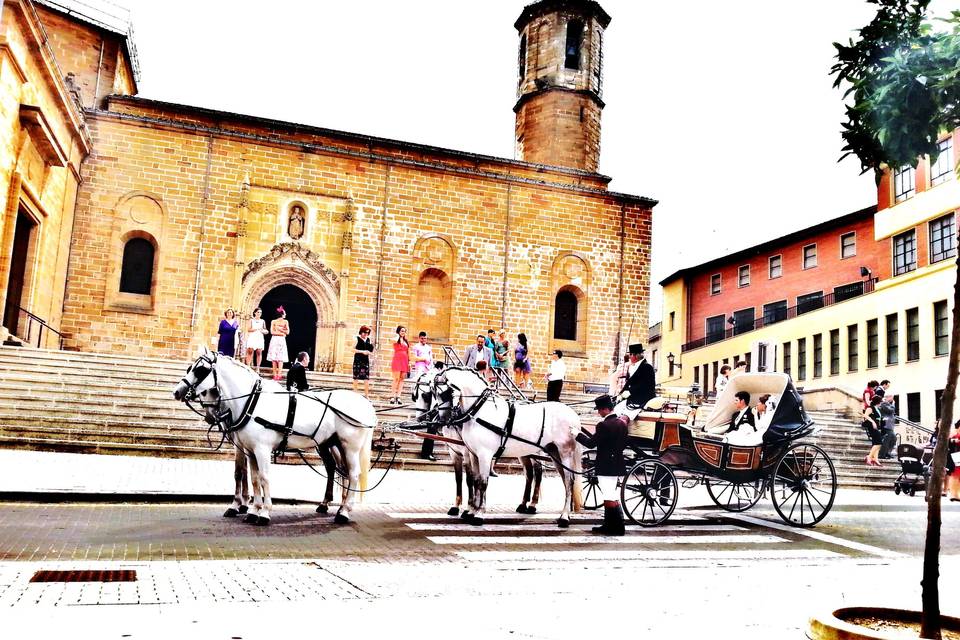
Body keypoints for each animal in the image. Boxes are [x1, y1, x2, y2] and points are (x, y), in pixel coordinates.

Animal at [174, 350, 374, 524]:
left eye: (200, 370)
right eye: (190, 367)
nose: (177, 391)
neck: (252, 402)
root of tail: (365, 403)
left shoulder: (261, 449)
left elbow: (263, 477)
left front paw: (263, 512)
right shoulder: (249, 450)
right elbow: (252, 477)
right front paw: (252, 510)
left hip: (350, 447)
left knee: (353, 474)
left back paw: (344, 511)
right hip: (330, 443)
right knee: (338, 469)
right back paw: (333, 505)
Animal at [408, 368, 544, 516]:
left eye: (426, 395)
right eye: (417, 396)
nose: (443, 419)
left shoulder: (469, 452)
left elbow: (470, 479)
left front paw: (469, 508)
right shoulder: (455, 453)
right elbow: (459, 478)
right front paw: (457, 506)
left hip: (537, 452)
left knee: (538, 471)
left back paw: (533, 504)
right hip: (523, 452)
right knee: (529, 474)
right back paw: (523, 504)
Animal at [432, 364, 580, 524]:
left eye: (446, 392)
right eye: (433, 393)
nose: (443, 420)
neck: (480, 410)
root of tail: (573, 414)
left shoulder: (484, 455)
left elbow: (482, 482)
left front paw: (479, 514)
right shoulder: (473, 454)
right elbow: (475, 480)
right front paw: (471, 511)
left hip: (563, 453)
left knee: (567, 480)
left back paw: (563, 516)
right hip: (552, 454)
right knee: (553, 478)